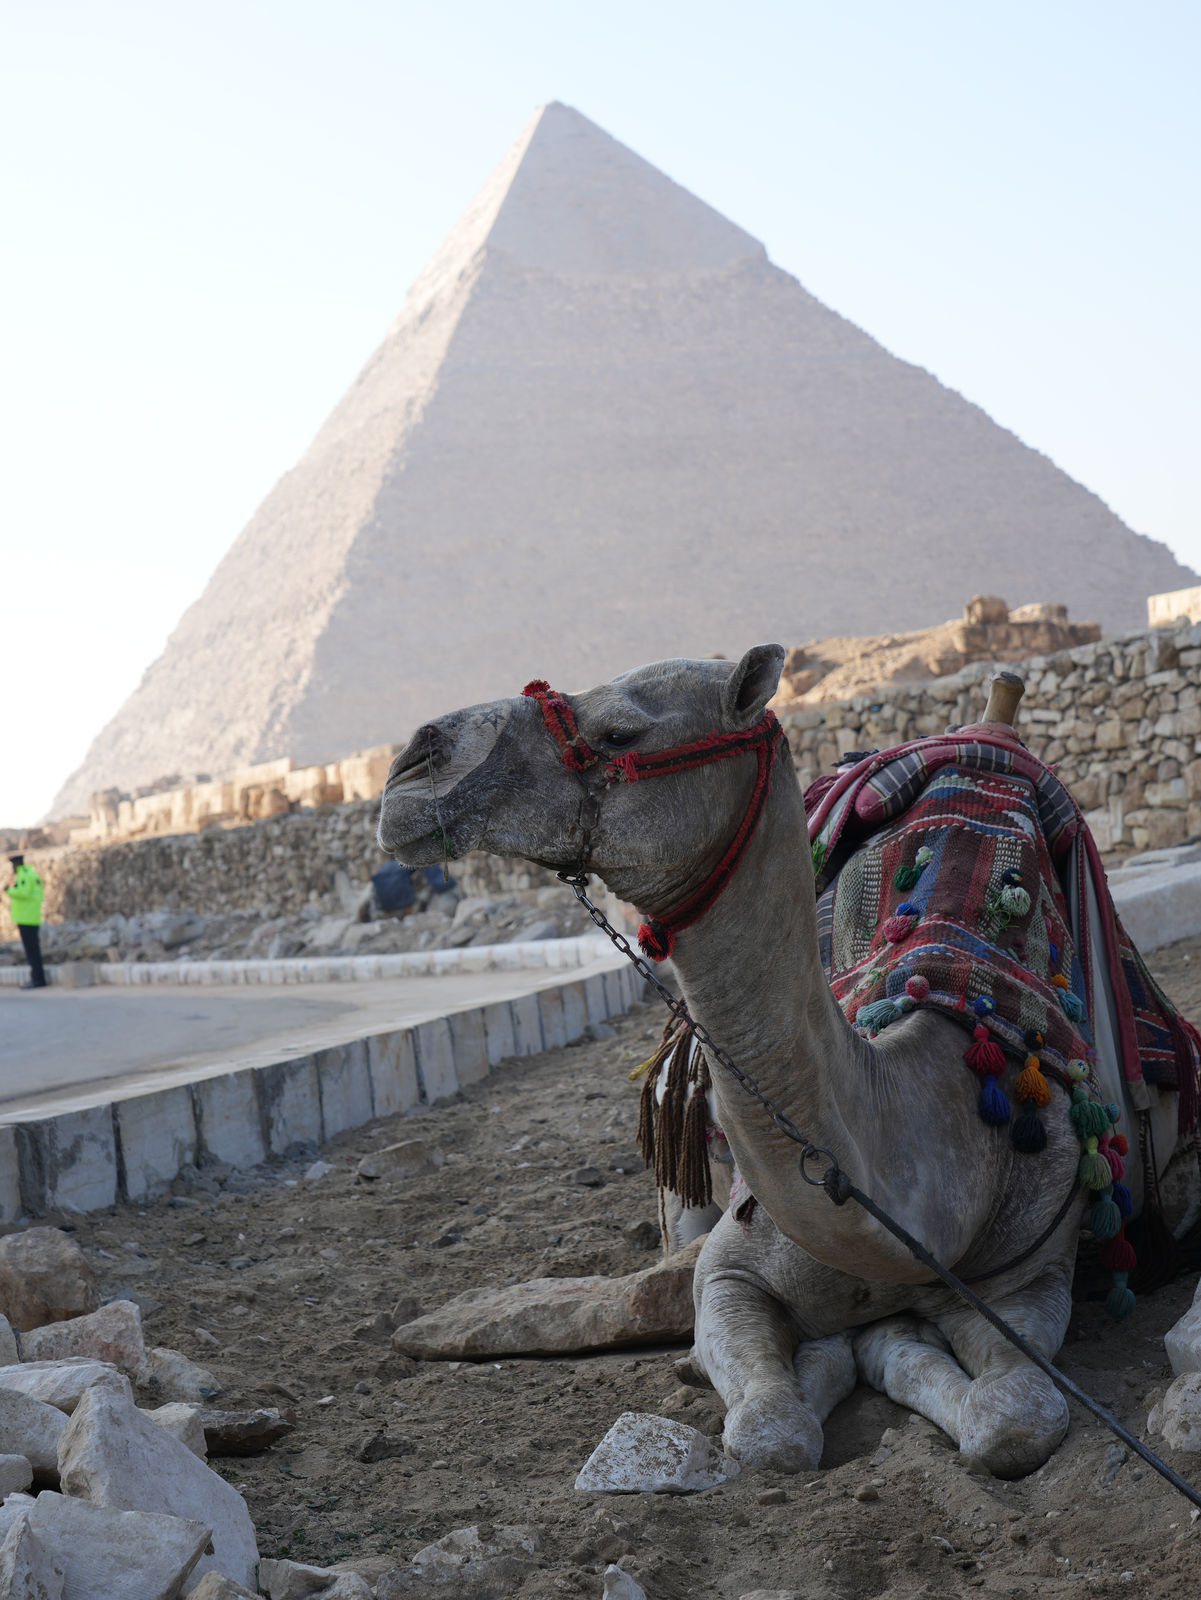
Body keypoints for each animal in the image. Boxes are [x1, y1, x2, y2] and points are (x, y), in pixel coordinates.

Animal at [377, 645, 1198, 1479]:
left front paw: (884, 1344)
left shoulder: (1029, 1272)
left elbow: (1012, 1417)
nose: (412, 766)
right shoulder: (729, 1274)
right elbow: (769, 1430)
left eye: (619, 732)